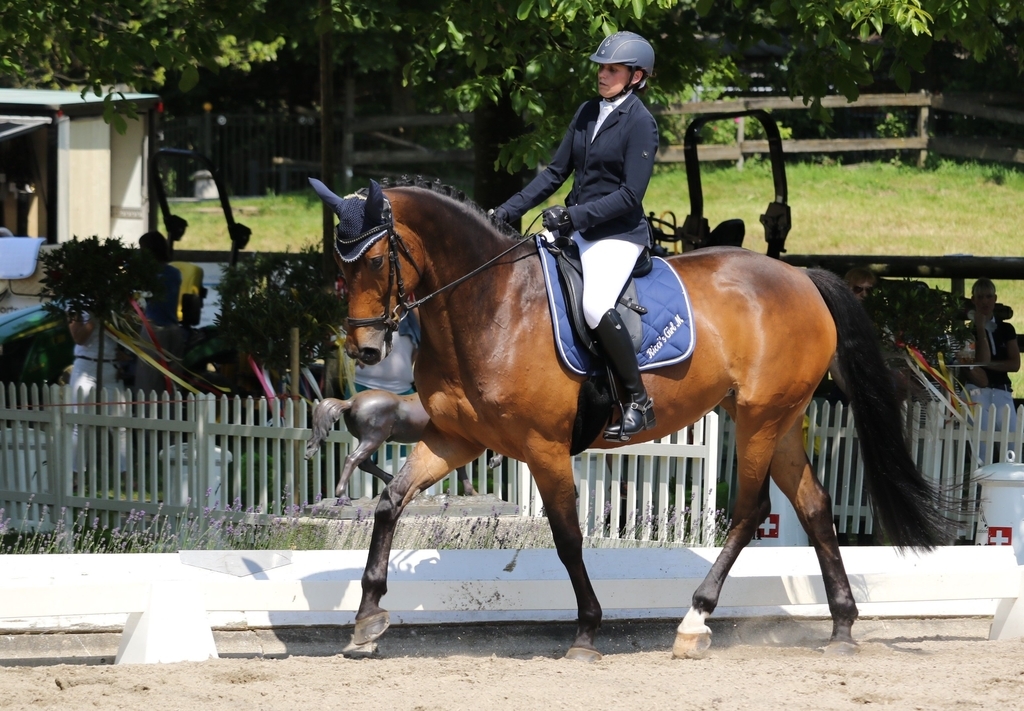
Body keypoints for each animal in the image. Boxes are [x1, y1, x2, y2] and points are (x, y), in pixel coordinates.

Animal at [305, 389, 485, 502]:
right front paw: (472, 492)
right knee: (352, 459)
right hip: (373, 439)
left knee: (364, 463)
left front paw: (472, 493)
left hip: (369, 440)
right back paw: (342, 495)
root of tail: (350, 402)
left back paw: (391, 482)